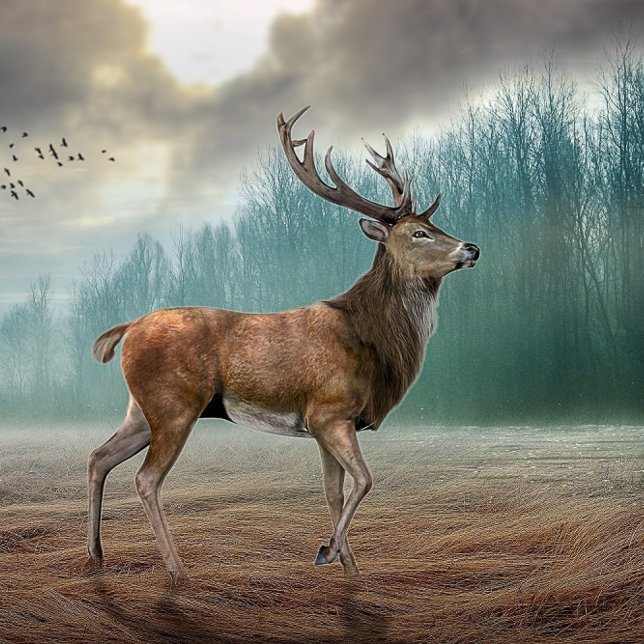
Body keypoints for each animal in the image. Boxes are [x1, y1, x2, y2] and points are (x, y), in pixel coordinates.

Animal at [86, 106, 480, 585]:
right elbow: (365, 481)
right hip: (174, 404)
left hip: (142, 410)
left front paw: (348, 565)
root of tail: (127, 329)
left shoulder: (326, 424)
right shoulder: (329, 411)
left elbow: (334, 491)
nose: (472, 248)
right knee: (146, 479)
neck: (371, 341)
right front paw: (328, 551)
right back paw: (178, 571)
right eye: (419, 233)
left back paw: (96, 555)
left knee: (99, 456)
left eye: (434, 224)